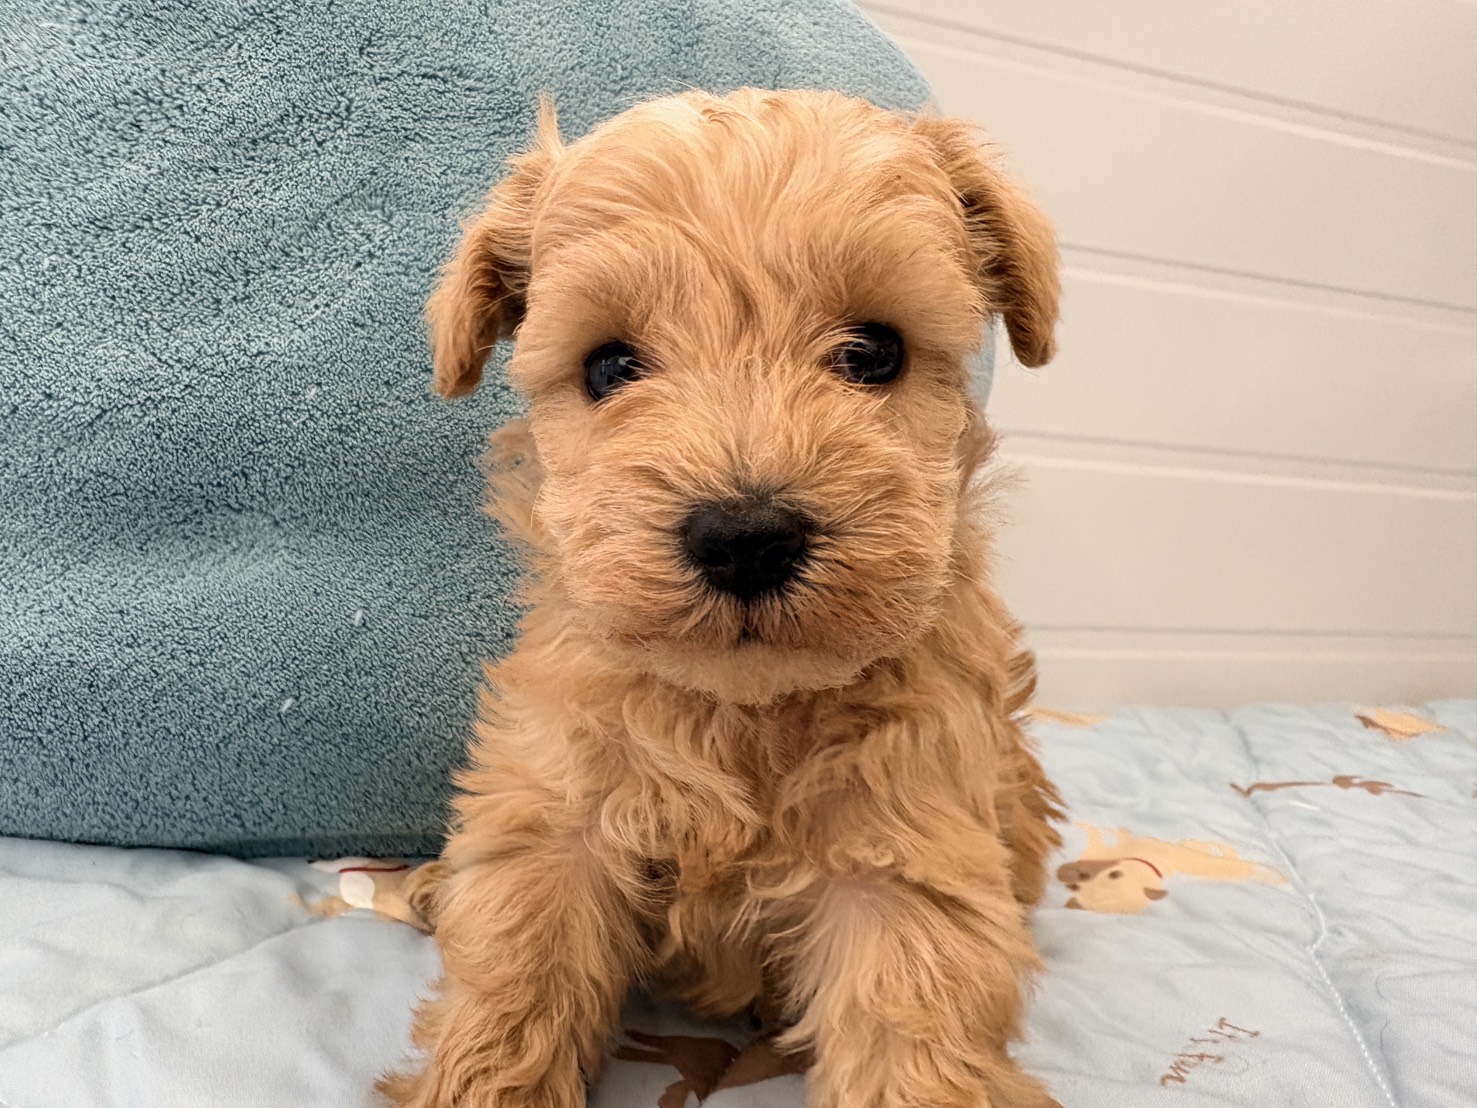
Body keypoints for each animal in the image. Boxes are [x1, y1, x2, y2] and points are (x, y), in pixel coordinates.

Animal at [380, 88, 1065, 1108]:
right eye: (610, 367)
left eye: (874, 353)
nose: (744, 537)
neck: (738, 710)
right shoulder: (556, 812)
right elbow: (514, 979)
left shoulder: (906, 854)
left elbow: (911, 1033)